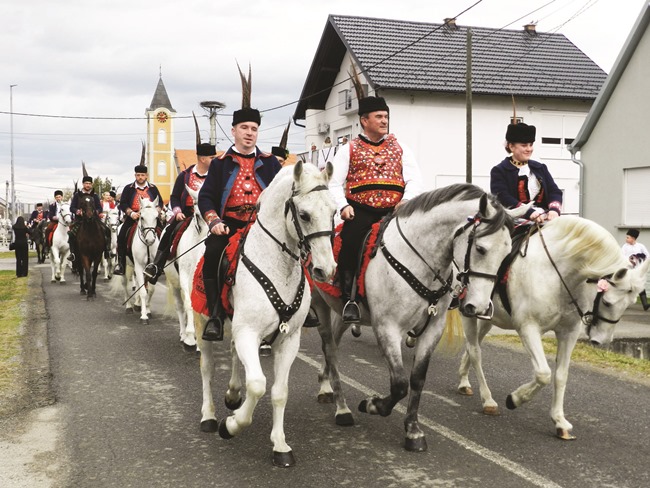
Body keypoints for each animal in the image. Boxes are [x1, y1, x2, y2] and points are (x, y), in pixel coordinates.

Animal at [165, 187, 208, 350]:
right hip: (174, 284)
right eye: (198, 215)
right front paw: (190, 338)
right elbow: (189, 305)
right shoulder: (184, 277)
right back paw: (184, 334)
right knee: (180, 306)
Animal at [194, 162, 334, 468]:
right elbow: (257, 385)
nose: (326, 270)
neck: (276, 265)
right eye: (304, 215)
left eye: (334, 212)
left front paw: (280, 446)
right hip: (203, 323)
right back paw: (209, 416)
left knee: (234, 355)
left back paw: (233, 394)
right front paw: (230, 426)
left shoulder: (288, 339)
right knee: (208, 367)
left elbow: (279, 392)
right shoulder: (248, 332)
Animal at [308, 185, 528, 452]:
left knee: (333, 347)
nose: (479, 306)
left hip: (342, 313)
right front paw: (372, 404)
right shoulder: (388, 327)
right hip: (320, 305)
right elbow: (400, 384)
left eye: (507, 254)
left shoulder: (433, 329)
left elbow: (417, 379)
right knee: (329, 348)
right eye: (481, 249)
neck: (418, 260)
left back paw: (326, 386)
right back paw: (341, 408)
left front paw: (412, 430)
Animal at [456, 216, 648, 438]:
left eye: (629, 304)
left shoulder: (569, 333)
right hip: (468, 311)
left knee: (473, 345)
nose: (602, 340)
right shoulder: (528, 328)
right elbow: (543, 374)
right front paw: (515, 398)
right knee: (475, 351)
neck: (557, 274)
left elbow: (560, 375)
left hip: (487, 317)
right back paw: (487, 400)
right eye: (607, 302)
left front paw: (559, 421)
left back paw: (464, 381)